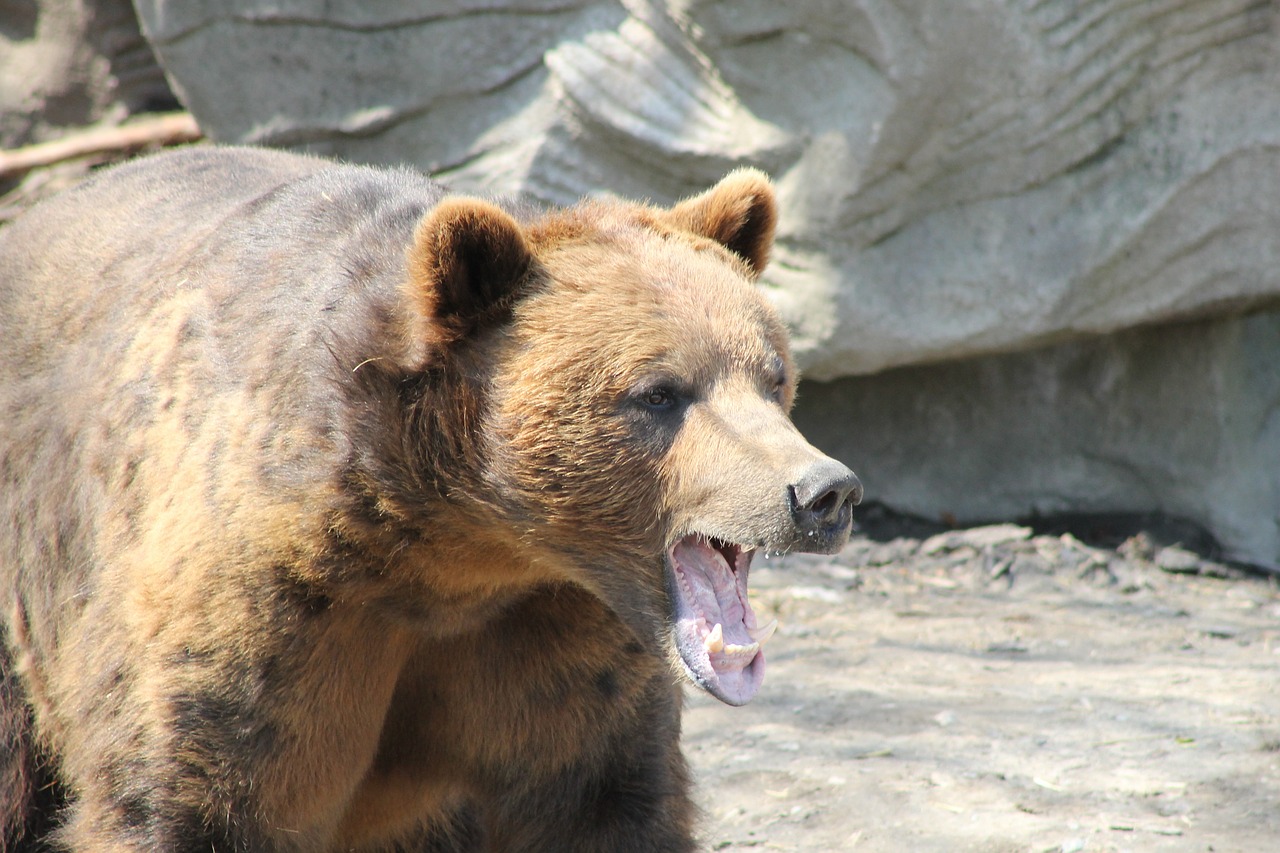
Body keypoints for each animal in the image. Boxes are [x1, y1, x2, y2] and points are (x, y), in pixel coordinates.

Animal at [2, 147, 860, 850]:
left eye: (772, 374)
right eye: (658, 392)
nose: (823, 491)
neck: (454, 547)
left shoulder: (556, 648)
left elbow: (604, 800)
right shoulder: (262, 611)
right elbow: (186, 793)